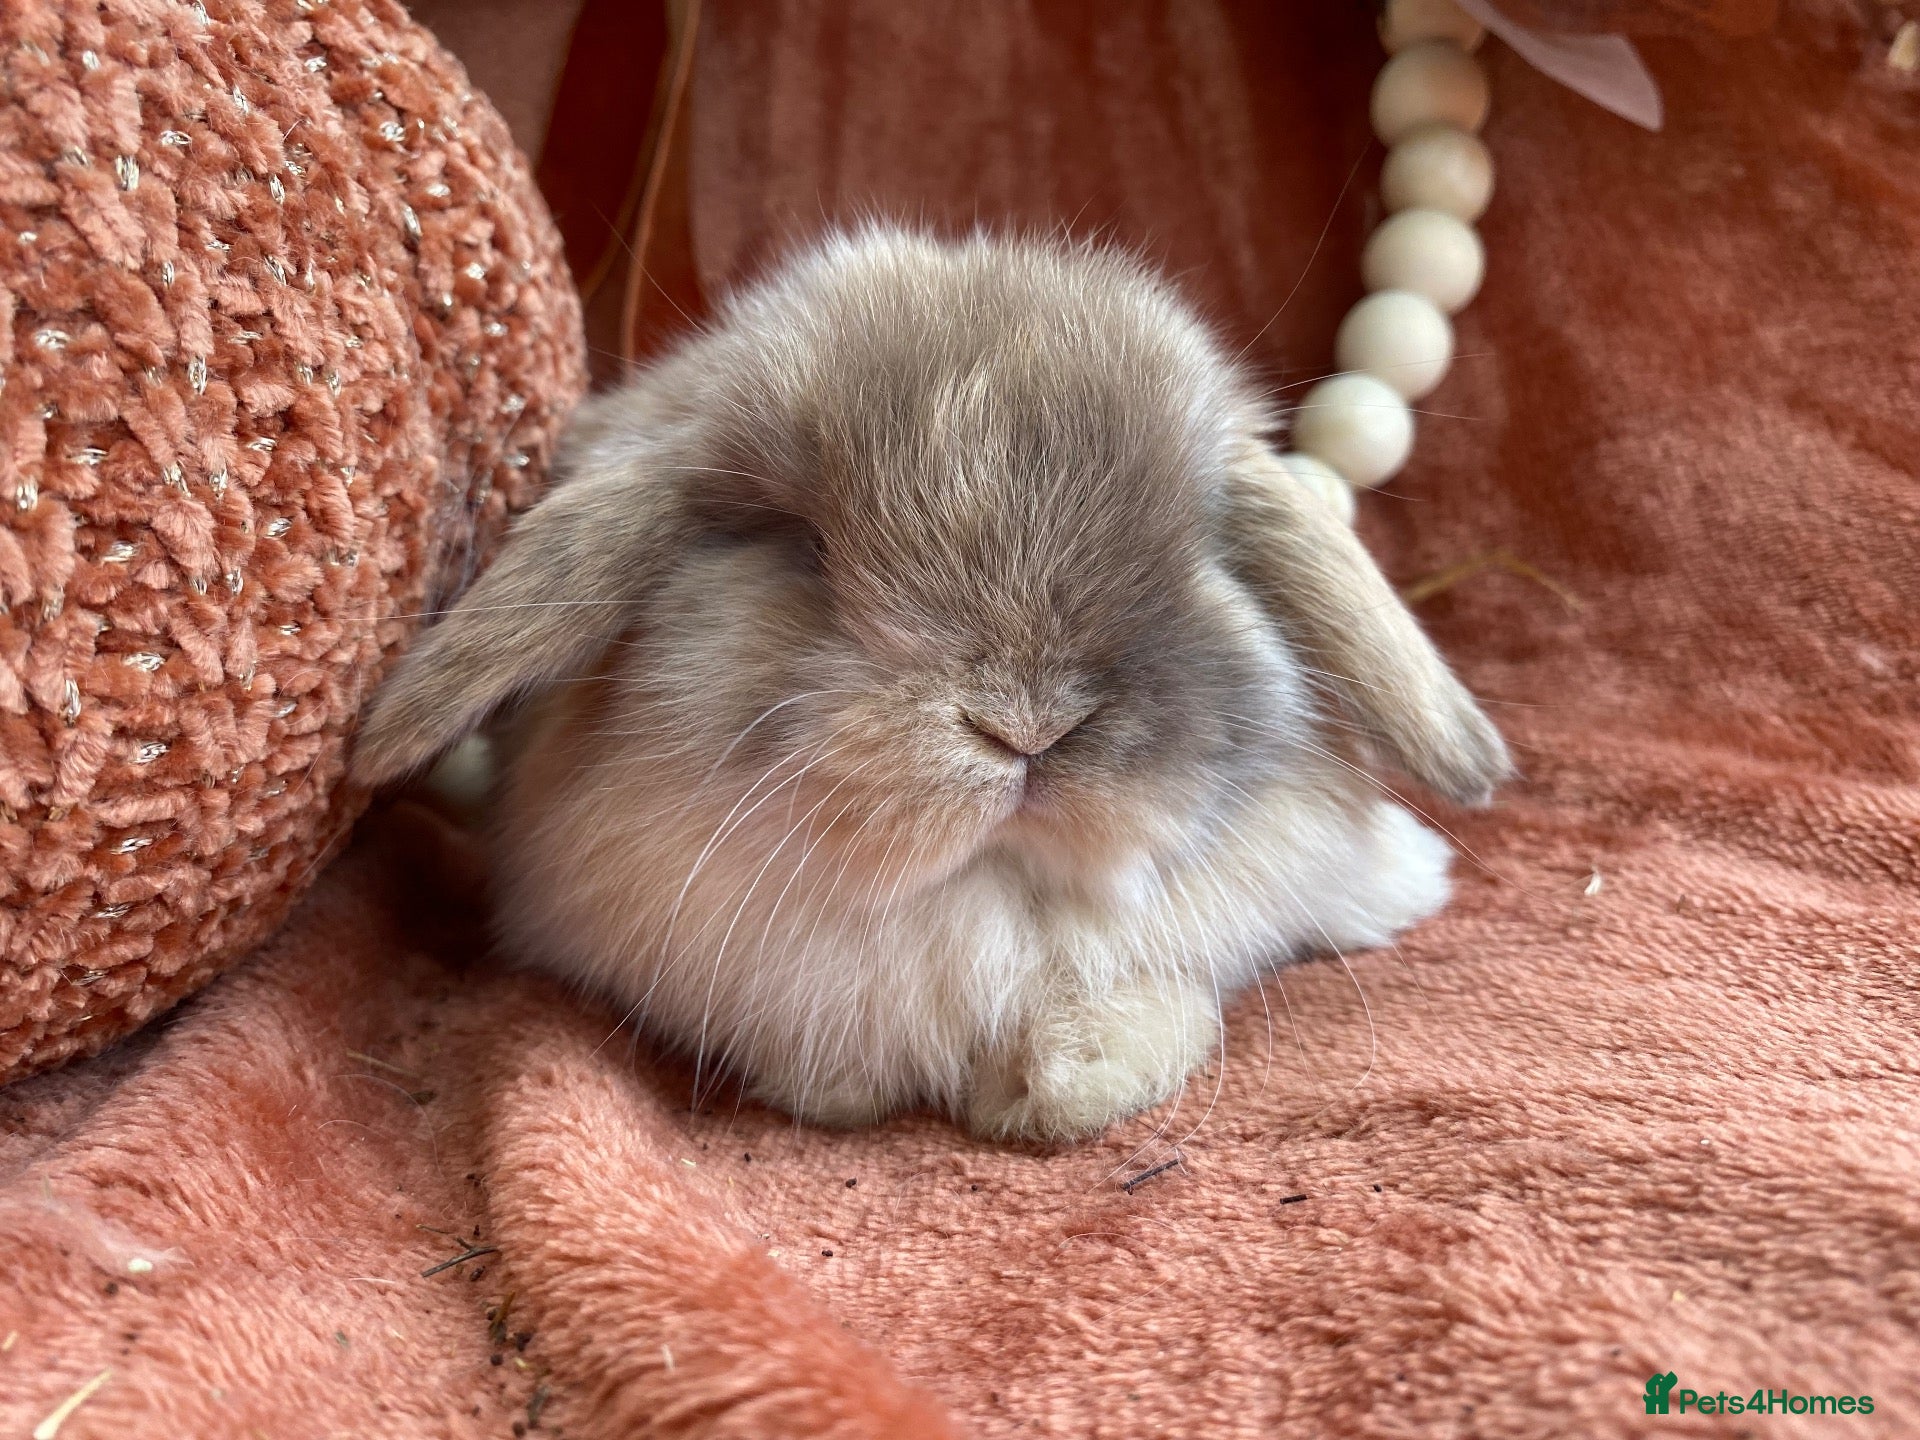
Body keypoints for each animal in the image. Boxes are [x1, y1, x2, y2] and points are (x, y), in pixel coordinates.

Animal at [352, 226, 1510, 1142]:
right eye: (805, 548)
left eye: (1196, 551)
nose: (1027, 729)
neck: (985, 898)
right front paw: (856, 1088)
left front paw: (1064, 1084)